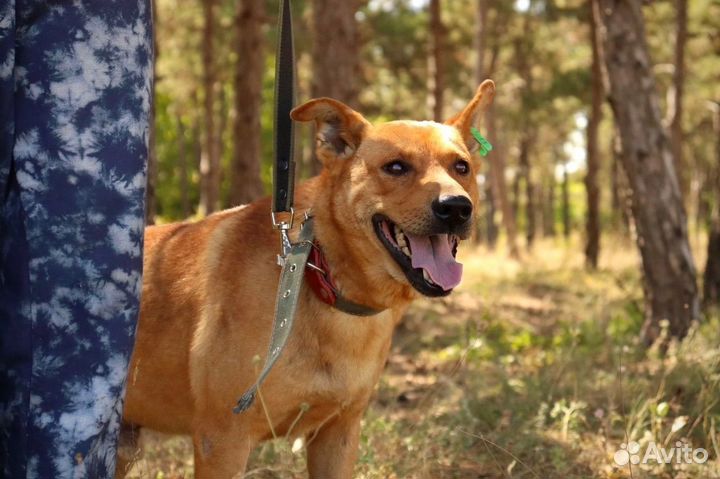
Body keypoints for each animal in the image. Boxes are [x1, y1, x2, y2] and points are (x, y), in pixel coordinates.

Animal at [118, 80, 498, 478]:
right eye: (396, 167)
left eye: (462, 167)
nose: (456, 207)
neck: (322, 278)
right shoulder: (221, 440)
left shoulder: (339, 434)